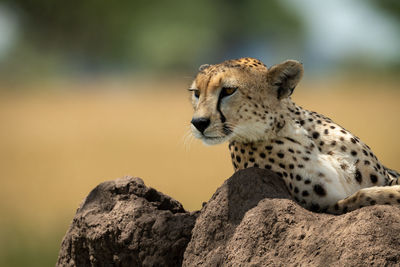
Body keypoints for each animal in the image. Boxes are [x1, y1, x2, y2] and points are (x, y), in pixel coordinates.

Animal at [188, 57, 400, 215]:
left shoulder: (386, 176)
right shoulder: (323, 206)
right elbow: (364, 196)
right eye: (197, 93)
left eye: (229, 90)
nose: (198, 122)